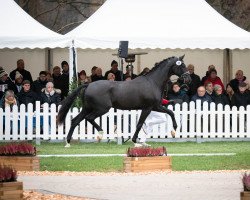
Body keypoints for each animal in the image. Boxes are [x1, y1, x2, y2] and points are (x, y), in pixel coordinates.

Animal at [58, 55, 191, 147]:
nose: (188, 79)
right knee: (89, 118)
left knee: (75, 120)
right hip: (101, 109)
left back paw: (68, 143)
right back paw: (100, 134)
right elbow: (140, 124)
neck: (152, 82)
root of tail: (88, 85)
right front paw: (135, 142)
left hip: (87, 108)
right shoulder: (148, 108)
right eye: (181, 65)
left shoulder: (155, 106)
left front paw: (173, 130)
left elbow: (170, 112)